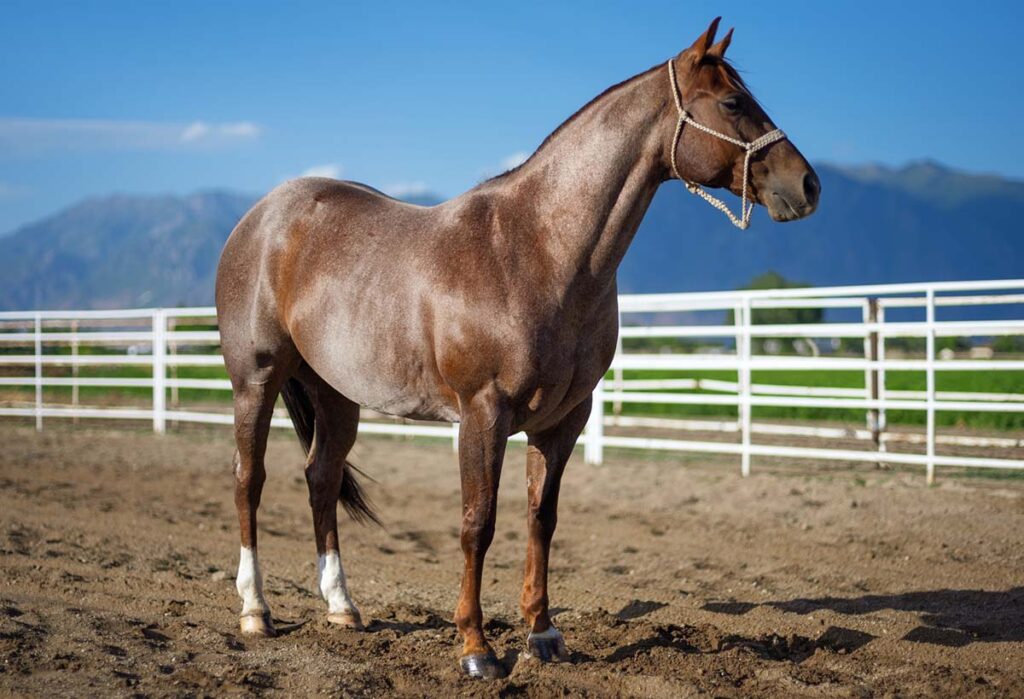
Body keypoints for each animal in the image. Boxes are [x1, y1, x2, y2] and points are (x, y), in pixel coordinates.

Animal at [215, 17, 819, 679]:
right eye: (733, 102)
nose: (808, 184)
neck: (536, 250)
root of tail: (262, 216)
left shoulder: (563, 420)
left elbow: (541, 519)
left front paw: (543, 634)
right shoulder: (483, 414)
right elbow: (478, 524)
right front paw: (476, 648)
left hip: (335, 394)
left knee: (320, 478)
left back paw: (342, 607)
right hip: (256, 380)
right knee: (249, 479)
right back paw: (255, 610)